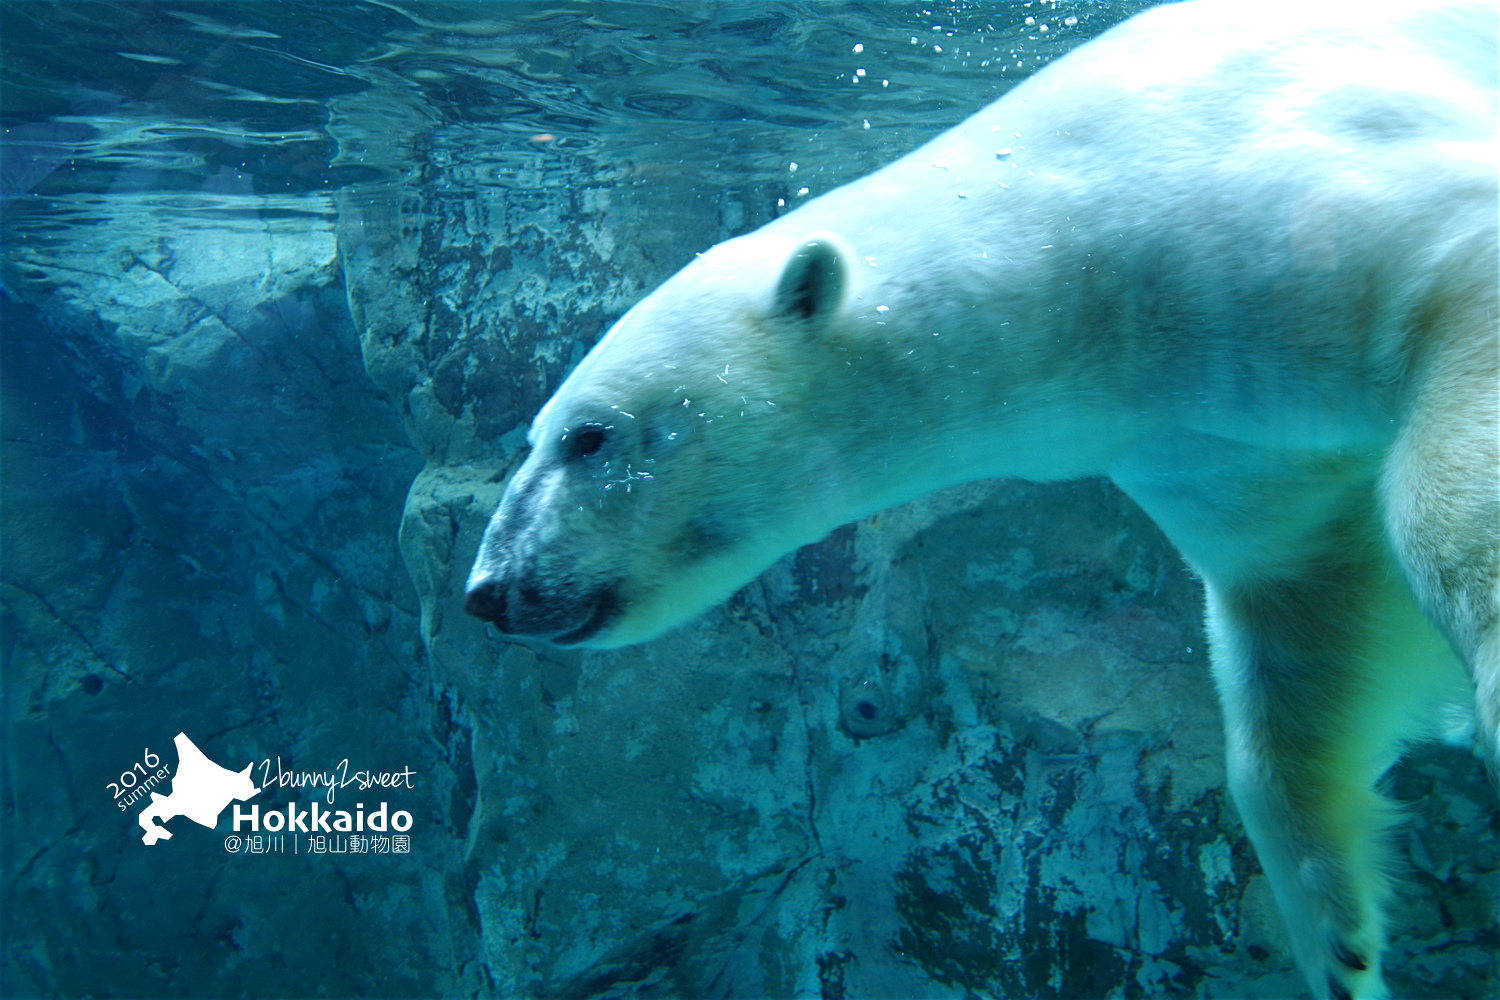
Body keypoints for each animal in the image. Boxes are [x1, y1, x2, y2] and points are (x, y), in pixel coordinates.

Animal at [462, 3, 1494, 995]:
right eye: (534, 434)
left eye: (588, 436)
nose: (489, 591)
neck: (1068, 225)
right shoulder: (1197, 435)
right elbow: (1303, 603)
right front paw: (1339, 936)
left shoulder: (1276, 198)